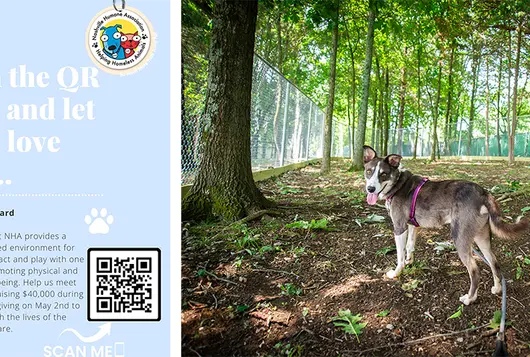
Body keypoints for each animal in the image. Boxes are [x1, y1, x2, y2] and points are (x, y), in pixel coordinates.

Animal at [360, 145, 524, 304]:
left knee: (475, 270)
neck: (398, 184)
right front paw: (409, 261)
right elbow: (409, 247)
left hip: (460, 238)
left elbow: (399, 255)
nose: (370, 189)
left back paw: (469, 298)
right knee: (494, 263)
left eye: (383, 174)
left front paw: (396, 273)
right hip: (481, 238)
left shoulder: (399, 227)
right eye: (369, 171)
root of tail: (483, 192)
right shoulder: (413, 225)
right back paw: (497, 288)